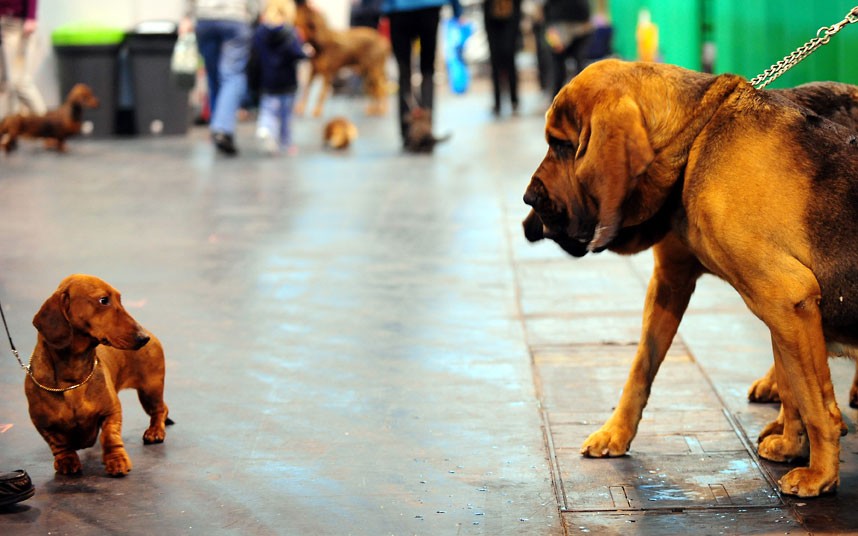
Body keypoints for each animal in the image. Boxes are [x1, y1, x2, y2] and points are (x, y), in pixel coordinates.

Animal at [25, 274, 171, 476]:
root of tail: (152, 333)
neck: (72, 380)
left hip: (151, 389)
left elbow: (110, 436)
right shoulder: (43, 424)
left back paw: (155, 432)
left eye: (120, 299)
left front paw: (117, 460)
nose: (143, 338)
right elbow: (59, 444)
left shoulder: (112, 411)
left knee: (160, 410)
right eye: (103, 300)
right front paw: (66, 461)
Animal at [520, 59, 856, 498]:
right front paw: (616, 433)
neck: (695, 138)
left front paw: (820, 474)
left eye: (562, 146)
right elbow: (642, 368)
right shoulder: (675, 283)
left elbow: (814, 401)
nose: (528, 200)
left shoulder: (785, 297)